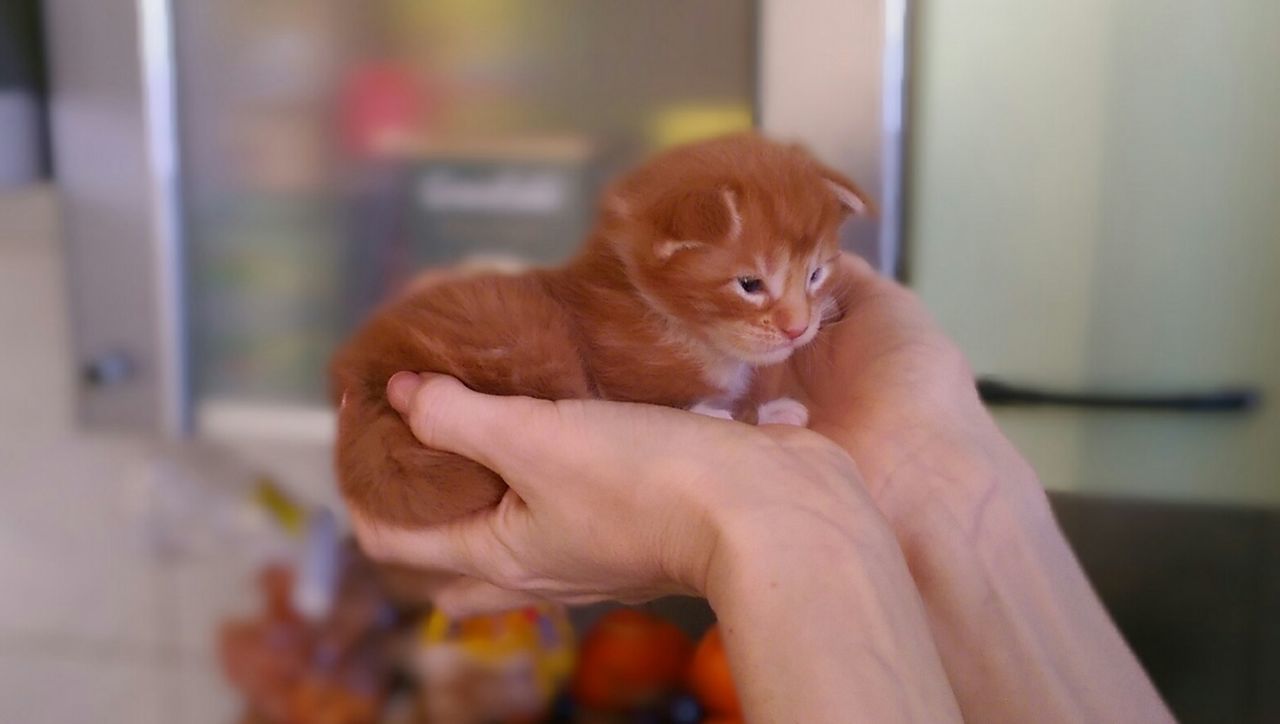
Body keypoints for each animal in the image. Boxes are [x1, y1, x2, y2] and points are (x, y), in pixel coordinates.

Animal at [330, 133, 870, 529]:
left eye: (816, 274)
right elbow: (698, 408)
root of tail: (364, 373)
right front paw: (759, 414)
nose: (798, 328)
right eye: (750, 284)